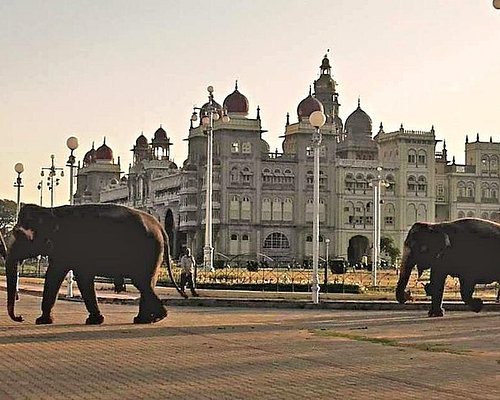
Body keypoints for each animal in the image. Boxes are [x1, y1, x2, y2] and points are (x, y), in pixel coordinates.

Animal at [3, 203, 184, 324]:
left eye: (20, 234)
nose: (20, 317)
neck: (50, 210)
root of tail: (160, 227)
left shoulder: (66, 247)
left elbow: (55, 275)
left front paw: (42, 321)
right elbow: (81, 278)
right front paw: (95, 320)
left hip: (148, 249)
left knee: (141, 281)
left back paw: (158, 317)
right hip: (154, 252)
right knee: (148, 282)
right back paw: (144, 320)